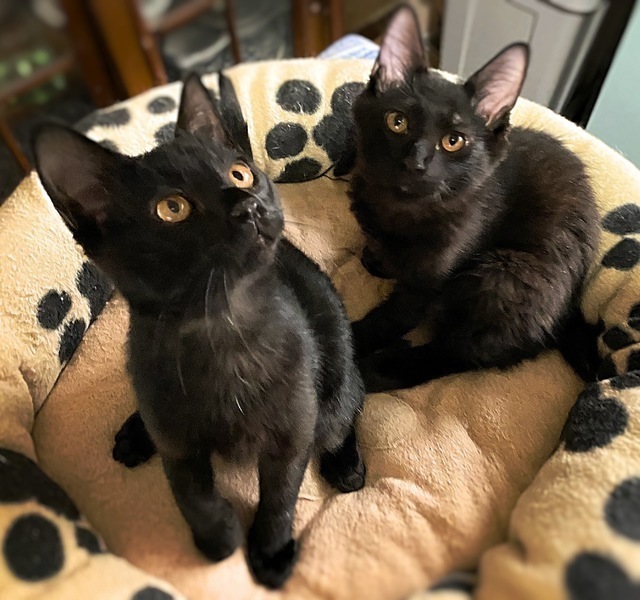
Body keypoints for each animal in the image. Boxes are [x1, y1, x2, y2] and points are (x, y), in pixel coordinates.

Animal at [32, 72, 366, 589]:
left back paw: (345, 464)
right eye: (172, 208)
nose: (248, 205)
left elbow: (280, 498)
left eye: (240, 174)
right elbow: (193, 494)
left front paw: (270, 551)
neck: (223, 328)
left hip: (333, 381)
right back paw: (134, 434)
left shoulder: (292, 432)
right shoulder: (177, 445)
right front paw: (219, 539)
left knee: (348, 408)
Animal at [349, 5, 600, 391]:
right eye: (397, 121)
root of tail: (569, 308)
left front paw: (347, 344)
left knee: (461, 353)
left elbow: (389, 319)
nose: (416, 162)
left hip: (504, 276)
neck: (400, 211)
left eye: (454, 141)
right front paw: (376, 259)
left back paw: (383, 369)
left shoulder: (428, 285)